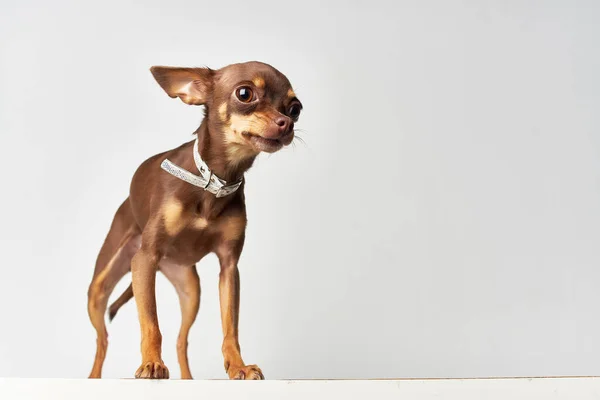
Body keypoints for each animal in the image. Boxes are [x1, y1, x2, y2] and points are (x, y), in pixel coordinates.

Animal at [86, 61, 302, 380]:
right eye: (245, 93)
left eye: (296, 108)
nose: (287, 124)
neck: (214, 181)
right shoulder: (145, 258)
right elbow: (151, 323)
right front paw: (152, 363)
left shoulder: (229, 268)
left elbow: (230, 328)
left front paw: (238, 366)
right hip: (102, 286)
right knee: (102, 339)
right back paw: (94, 377)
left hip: (190, 292)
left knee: (181, 340)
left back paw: (188, 378)